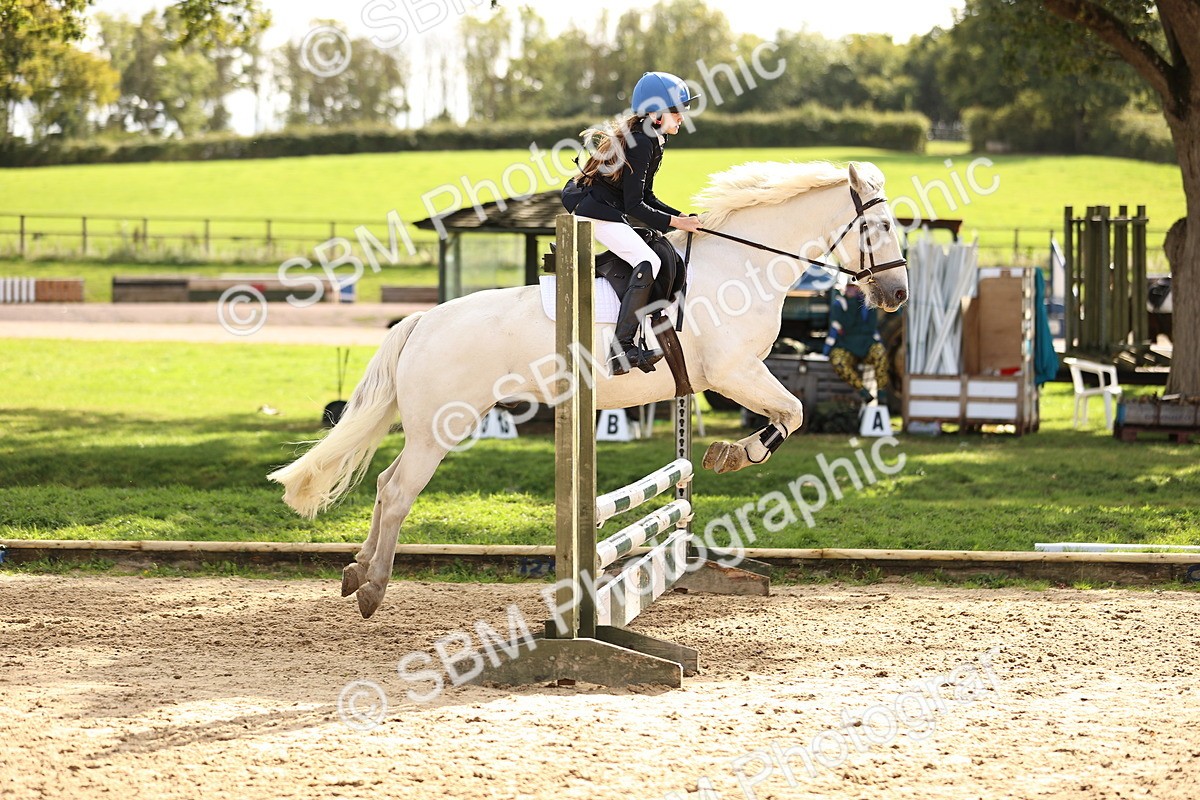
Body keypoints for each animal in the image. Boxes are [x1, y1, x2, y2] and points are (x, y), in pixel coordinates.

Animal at [268, 160, 910, 618]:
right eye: (879, 227)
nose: (898, 295)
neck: (741, 268)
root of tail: (423, 320)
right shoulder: (734, 372)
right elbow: (793, 412)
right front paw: (736, 452)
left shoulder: (729, 377)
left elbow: (785, 416)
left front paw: (727, 454)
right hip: (439, 429)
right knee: (399, 490)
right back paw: (373, 586)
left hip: (431, 427)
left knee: (382, 486)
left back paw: (356, 571)